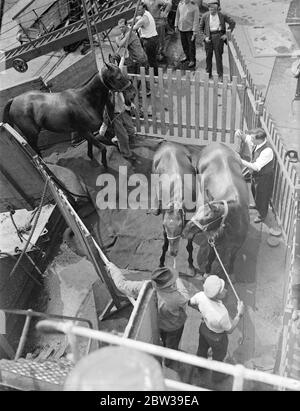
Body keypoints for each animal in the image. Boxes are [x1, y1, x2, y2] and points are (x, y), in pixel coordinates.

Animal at [2, 62, 136, 167]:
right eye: (118, 77)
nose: (132, 92)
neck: (85, 100)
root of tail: (14, 100)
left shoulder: (87, 132)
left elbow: (90, 145)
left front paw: (91, 156)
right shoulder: (83, 131)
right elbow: (102, 148)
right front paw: (104, 165)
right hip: (32, 134)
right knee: (34, 148)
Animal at [152, 142, 197, 276]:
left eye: (180, 228)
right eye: (165, 227)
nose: (173, 253)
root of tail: (169, 144)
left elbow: (190, 244)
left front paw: (191, 266)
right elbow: (164, 244)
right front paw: (161, 263)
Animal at [182, 142, 250, 284]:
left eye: (207, 218)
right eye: (198, 212)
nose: (185, 230)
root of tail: (216, 144)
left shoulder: (237, 245)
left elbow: (232, 258)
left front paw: (231, 274)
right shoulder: (212, 240)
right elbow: (211, 256)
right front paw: (207, 272)